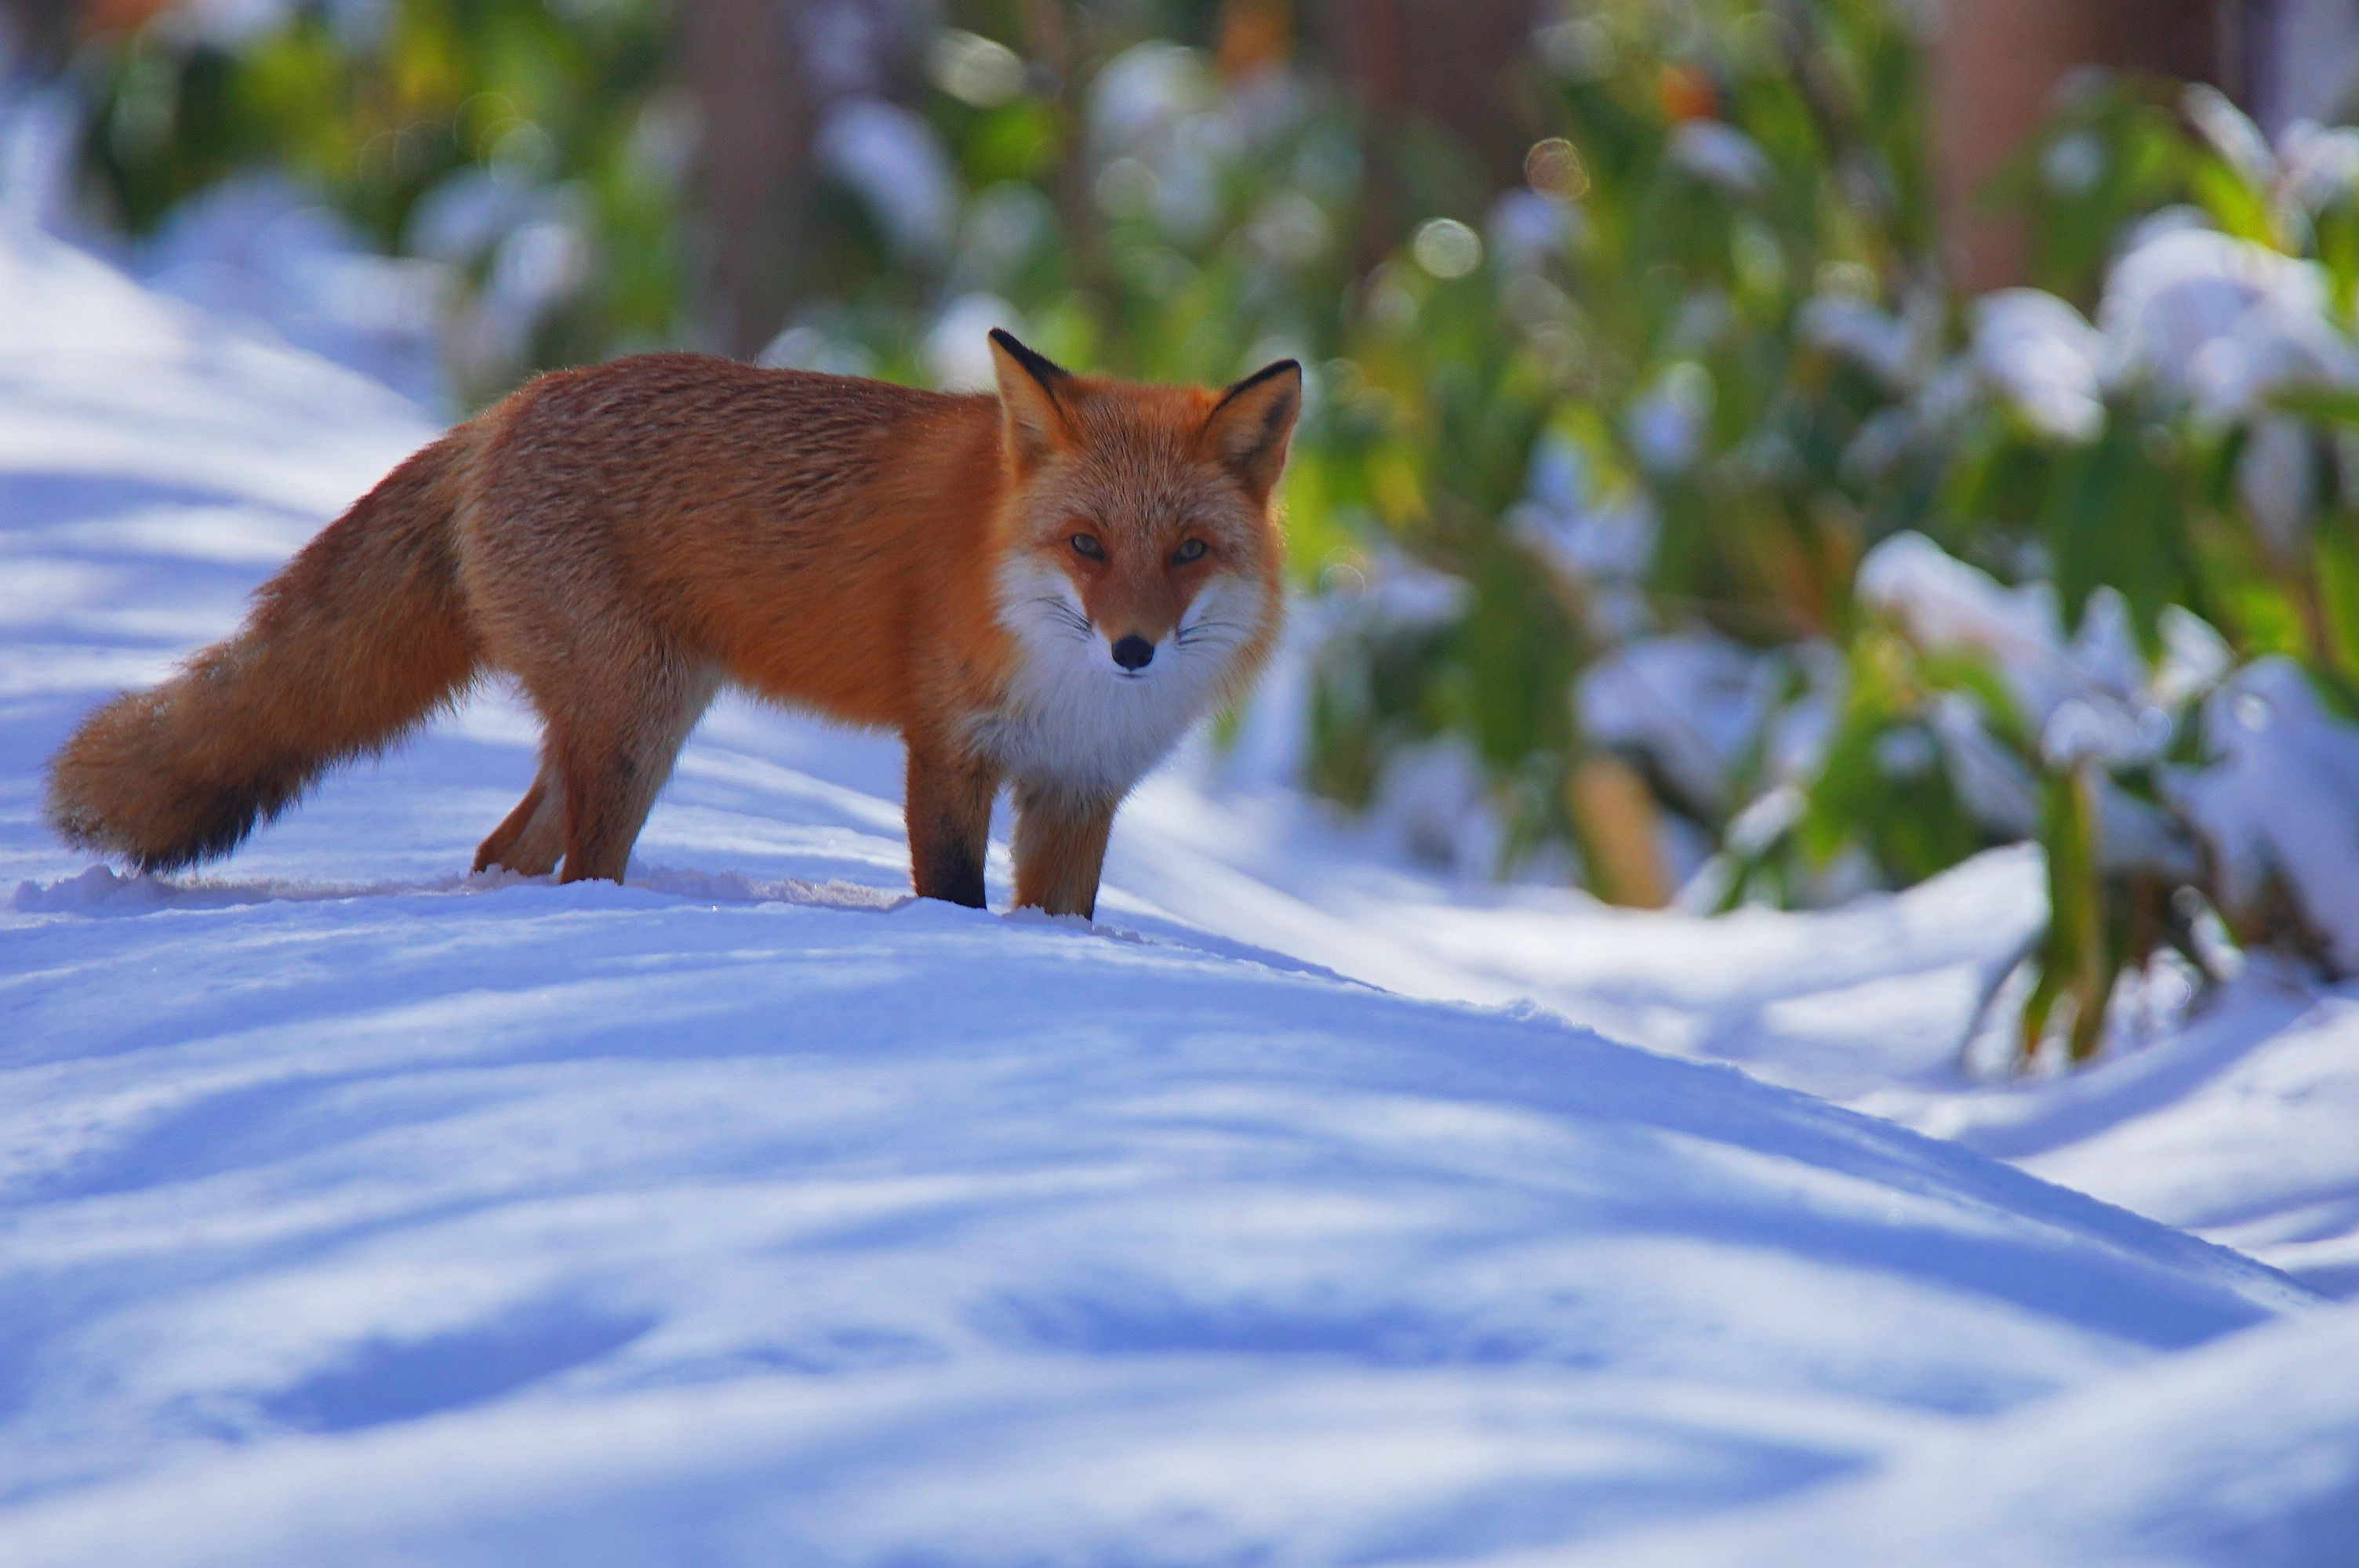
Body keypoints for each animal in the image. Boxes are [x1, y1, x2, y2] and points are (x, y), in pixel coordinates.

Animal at [45, 330, 1299, 919]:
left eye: (1188, 553)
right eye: (1086, 546)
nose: (1133, 649)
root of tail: (510, 405)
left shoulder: (1079, 790)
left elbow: (1061, 918)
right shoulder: (947, 751)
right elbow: (955, 898)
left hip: (626, 724)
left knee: (506, 851)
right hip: (632, 727)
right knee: (570, 867)